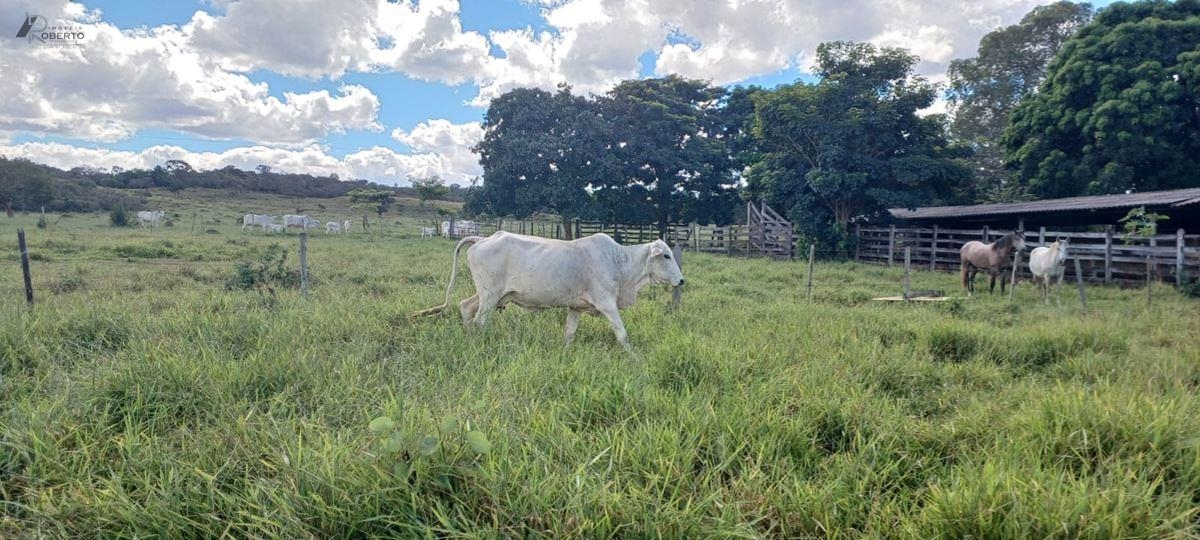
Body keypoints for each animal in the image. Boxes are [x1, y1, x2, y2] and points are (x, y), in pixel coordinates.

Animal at [415, 232, 686, 355]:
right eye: (665, 255)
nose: (681, 280)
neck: (619, 262)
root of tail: (483, 237)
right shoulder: (607, 304)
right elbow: (622, 335)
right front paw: (634, 359)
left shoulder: (576, 308)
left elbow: (569, 334)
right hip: (490, 295)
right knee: (480, 320)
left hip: (490, 295)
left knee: (465, 307)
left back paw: (468, 338)